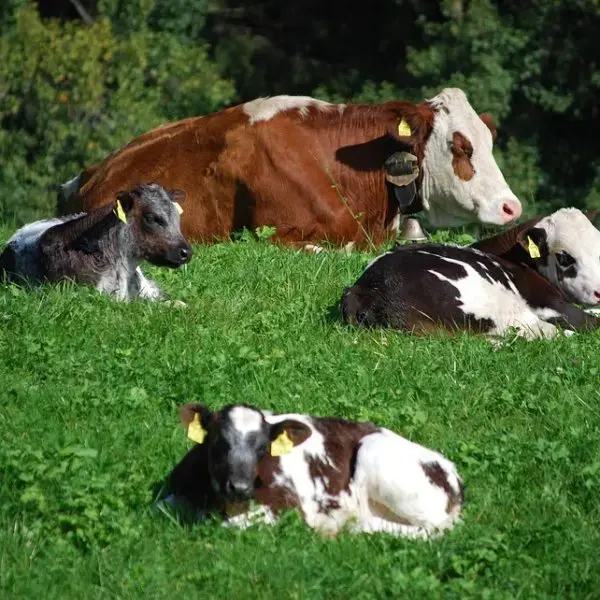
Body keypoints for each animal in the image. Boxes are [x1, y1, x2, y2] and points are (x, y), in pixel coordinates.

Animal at [164, 404, 464, 540]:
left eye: (263, 449)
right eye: (218, 442)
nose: (240, 487)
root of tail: (455, 476)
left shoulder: (287, 507)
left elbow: (234, 525)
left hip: (375, 453)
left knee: (431, 530)